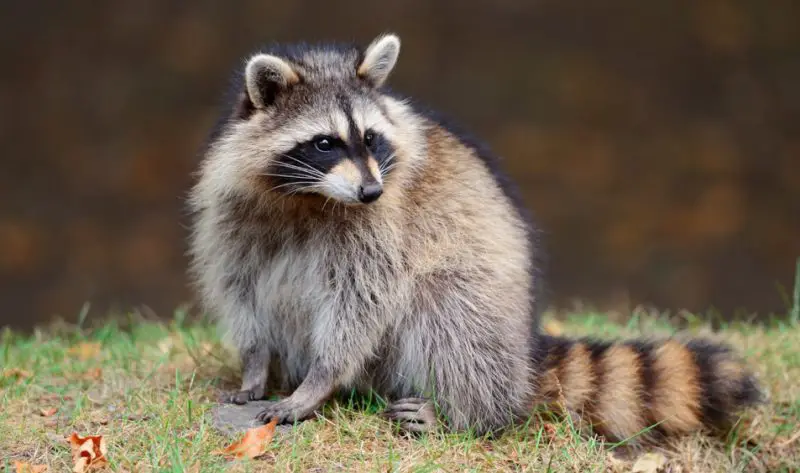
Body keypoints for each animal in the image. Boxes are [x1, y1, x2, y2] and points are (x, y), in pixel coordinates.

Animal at [187, 33, 763, 440]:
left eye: (371, 138)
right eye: (325, 143)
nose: (371, 190)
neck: (309, 197)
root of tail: (524, 350)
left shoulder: (381, 227)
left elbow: (361, 302)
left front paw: (319, 381)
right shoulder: (234, 213)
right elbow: (241, 287)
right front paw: (255, 364)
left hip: (483, 304)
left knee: (448, 313)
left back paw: (468, 413)